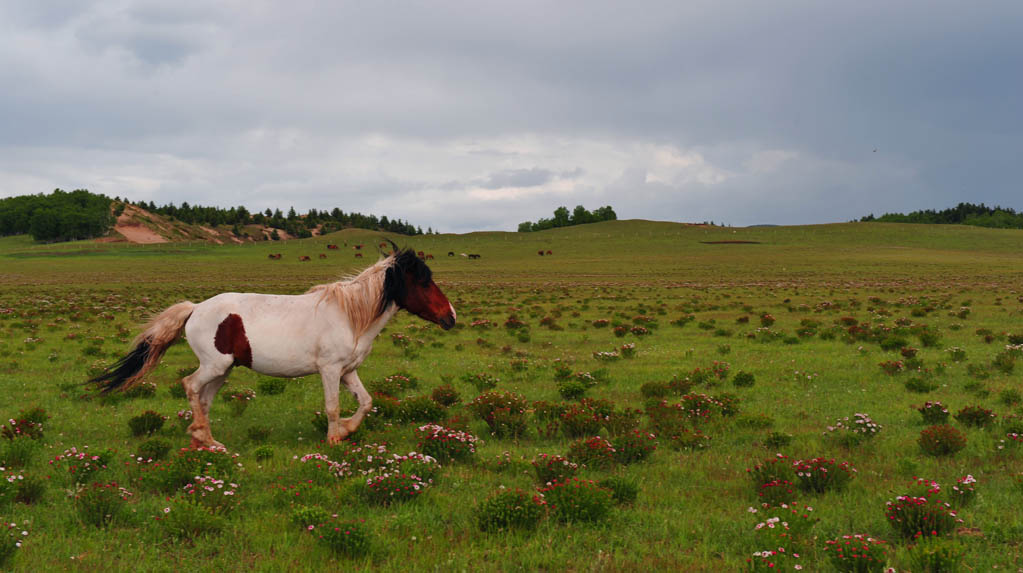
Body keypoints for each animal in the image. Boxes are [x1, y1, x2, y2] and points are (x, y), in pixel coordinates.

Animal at [87, 248, 456, 450]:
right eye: (424, 281)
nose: (451, 317)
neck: (350, 316)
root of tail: (195, 308)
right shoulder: (330, 370)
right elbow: (333, 406)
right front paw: (334, 439)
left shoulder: (348, 370)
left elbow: (365, 402)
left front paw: (347, 430)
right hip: (214, 366)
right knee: (189, 385)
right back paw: (202, 436)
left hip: (224, 371)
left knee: (203, 399)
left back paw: (205, 442)